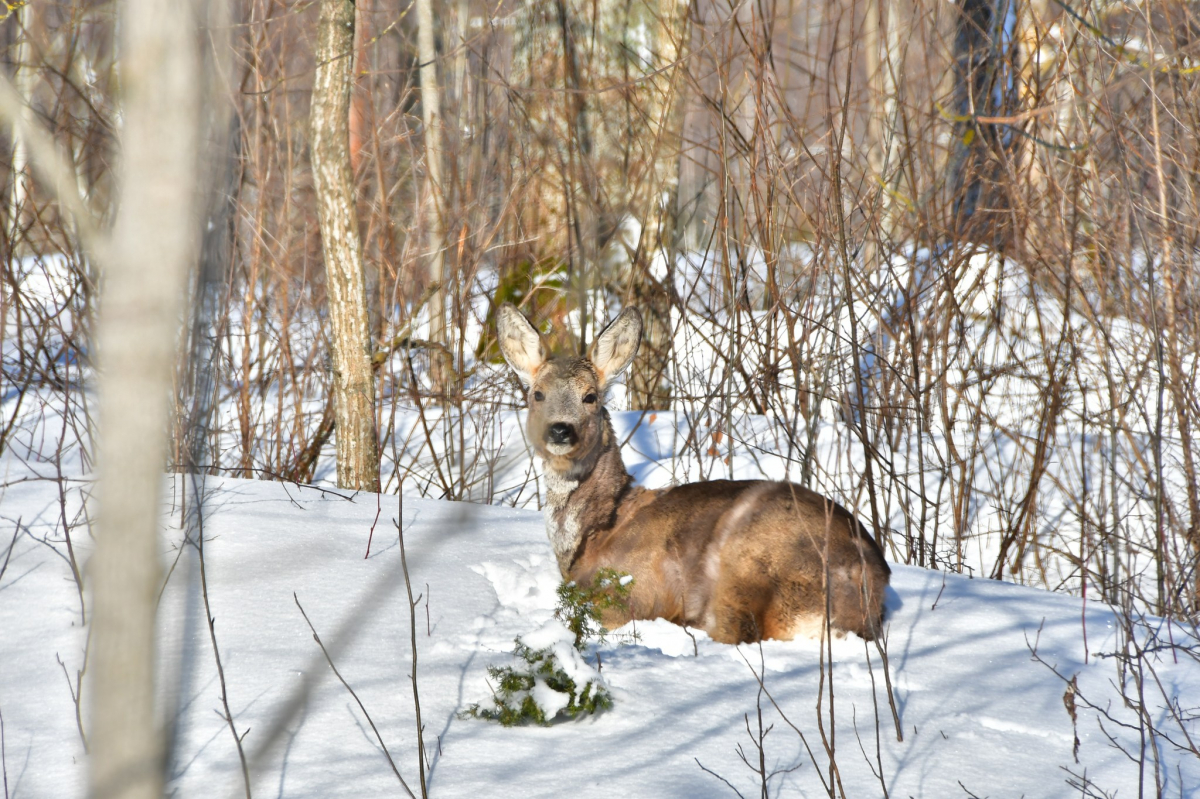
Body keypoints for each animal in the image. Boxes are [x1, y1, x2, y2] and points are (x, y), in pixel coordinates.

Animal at [496, 299, 892, 643]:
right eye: (537, 394)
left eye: (590, 396)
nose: (560, 430)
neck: (599, 532)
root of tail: (869, 579)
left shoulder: (633, 589)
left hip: (746, 566)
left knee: (738, 631)